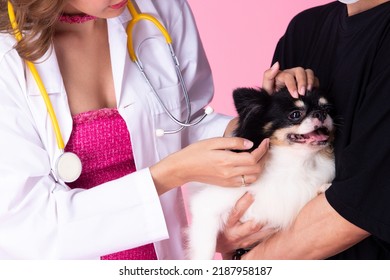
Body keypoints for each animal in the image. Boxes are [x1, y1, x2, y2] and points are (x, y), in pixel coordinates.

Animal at [186, 87, 336, 260]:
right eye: (295, 114)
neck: (295, 162)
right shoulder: (206, 206)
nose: (321, 113)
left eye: (328, 109)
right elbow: (206, 249)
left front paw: (324, 188)